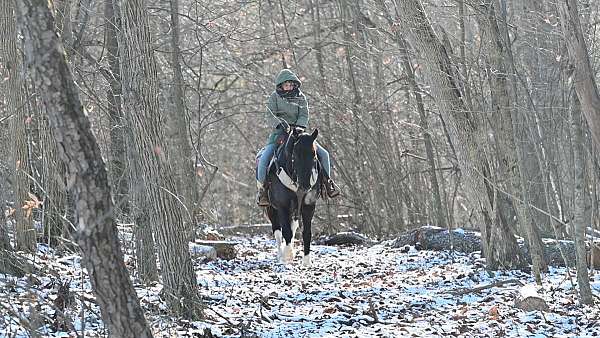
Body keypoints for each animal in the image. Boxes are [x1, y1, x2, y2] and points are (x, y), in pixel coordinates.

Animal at [264, 127, 322, 266]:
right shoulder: (282, 206)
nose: (305, 185)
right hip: (271, 208)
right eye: (296, 154)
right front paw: (288, 256)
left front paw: (306, 261)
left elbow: (306, 233)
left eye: (314, 154)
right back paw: (281, 255)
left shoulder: (308, 205)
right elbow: (286, 231)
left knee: (293, 225)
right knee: (277, 231)